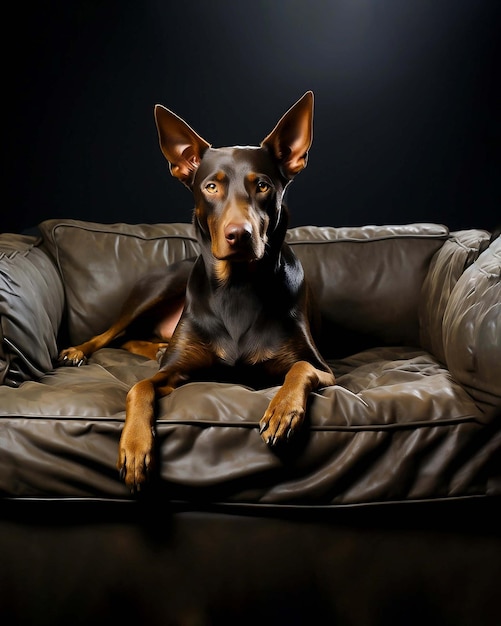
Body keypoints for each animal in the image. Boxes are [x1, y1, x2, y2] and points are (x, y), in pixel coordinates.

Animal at [58, 90, 334, 488]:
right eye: (211, 186)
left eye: (262, 185)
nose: (239, 235)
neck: (238, 286)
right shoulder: (175, 371)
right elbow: (138, 387)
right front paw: (135, 446)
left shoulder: (326, 370)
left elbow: (300, 367)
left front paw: (283, 410)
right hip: (159, 289)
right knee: (112, 334)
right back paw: (79, 351)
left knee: (130, 339)